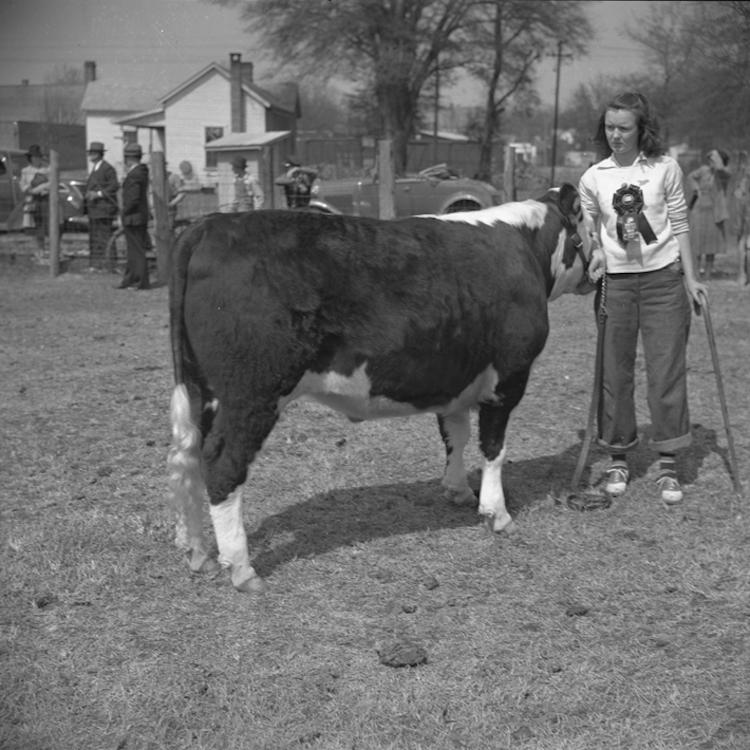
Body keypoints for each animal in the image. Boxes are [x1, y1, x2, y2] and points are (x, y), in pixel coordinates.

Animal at [169, 184, 592, 592]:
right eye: (592, 221)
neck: (525, 245)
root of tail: (210, 224)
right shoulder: (509, 378)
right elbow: (494, 448)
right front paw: (497, 514)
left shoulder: (456, 381)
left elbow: (455, 436)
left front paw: (458, 490)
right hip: (251, 393)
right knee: (222, 463)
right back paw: (242, 569)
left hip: (199, 390)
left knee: (185, 458)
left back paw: (197, 552)